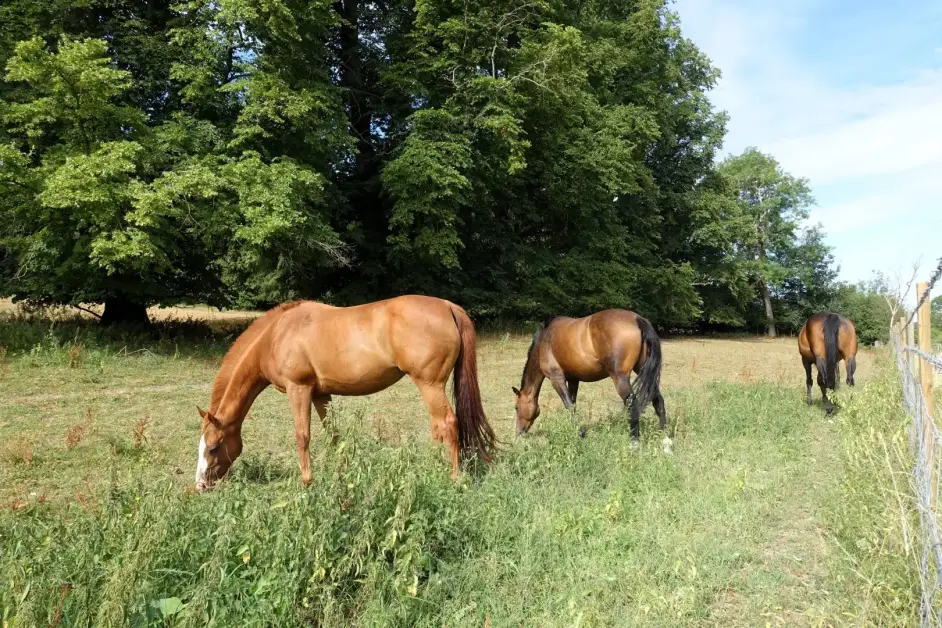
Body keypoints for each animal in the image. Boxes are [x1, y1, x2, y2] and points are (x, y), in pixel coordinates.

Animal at [194, 295, 496, 491]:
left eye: (213, 447)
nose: (200, 485)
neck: (276, 335)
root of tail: (448, 306)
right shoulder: (320, 395)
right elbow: (333, 435)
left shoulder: (298, 389)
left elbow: (302, 436)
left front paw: (307, 483)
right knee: (437, 427)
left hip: (429, 384)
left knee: (448, 424)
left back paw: (453, 478)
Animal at [511, 309, 670, 450]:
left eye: (517, 407)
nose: (518, 433)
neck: (544, 341)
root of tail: (637, 319)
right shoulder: (573, 379)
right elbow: (573, 405)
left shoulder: (556, 378)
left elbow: (569, 405)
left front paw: (581, 434)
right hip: (645, 373)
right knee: (658, 401)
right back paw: (664, 438)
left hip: (620, 379)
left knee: (633, 405)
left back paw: (634, 443)